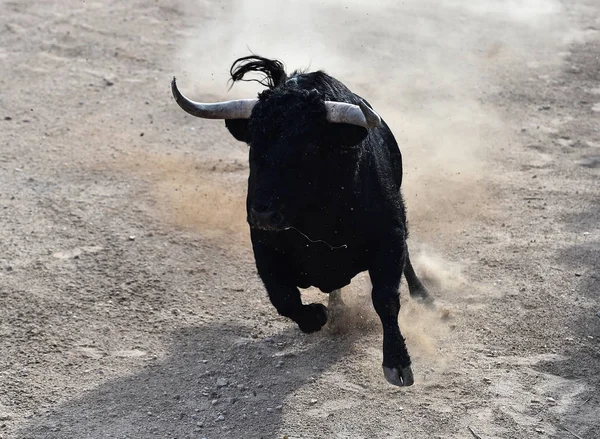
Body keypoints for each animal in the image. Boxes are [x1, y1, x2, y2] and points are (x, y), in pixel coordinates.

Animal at [171, 55, 434, 388]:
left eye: (309, 147)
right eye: (254, 144)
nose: (263, 214)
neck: (318, 215)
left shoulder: (389, 236)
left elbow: (385, 298)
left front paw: (397, 363)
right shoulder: (263, 247)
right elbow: (283, 297)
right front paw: (317, 316)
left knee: (407, 262)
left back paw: (424, 297)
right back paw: (336, 309)